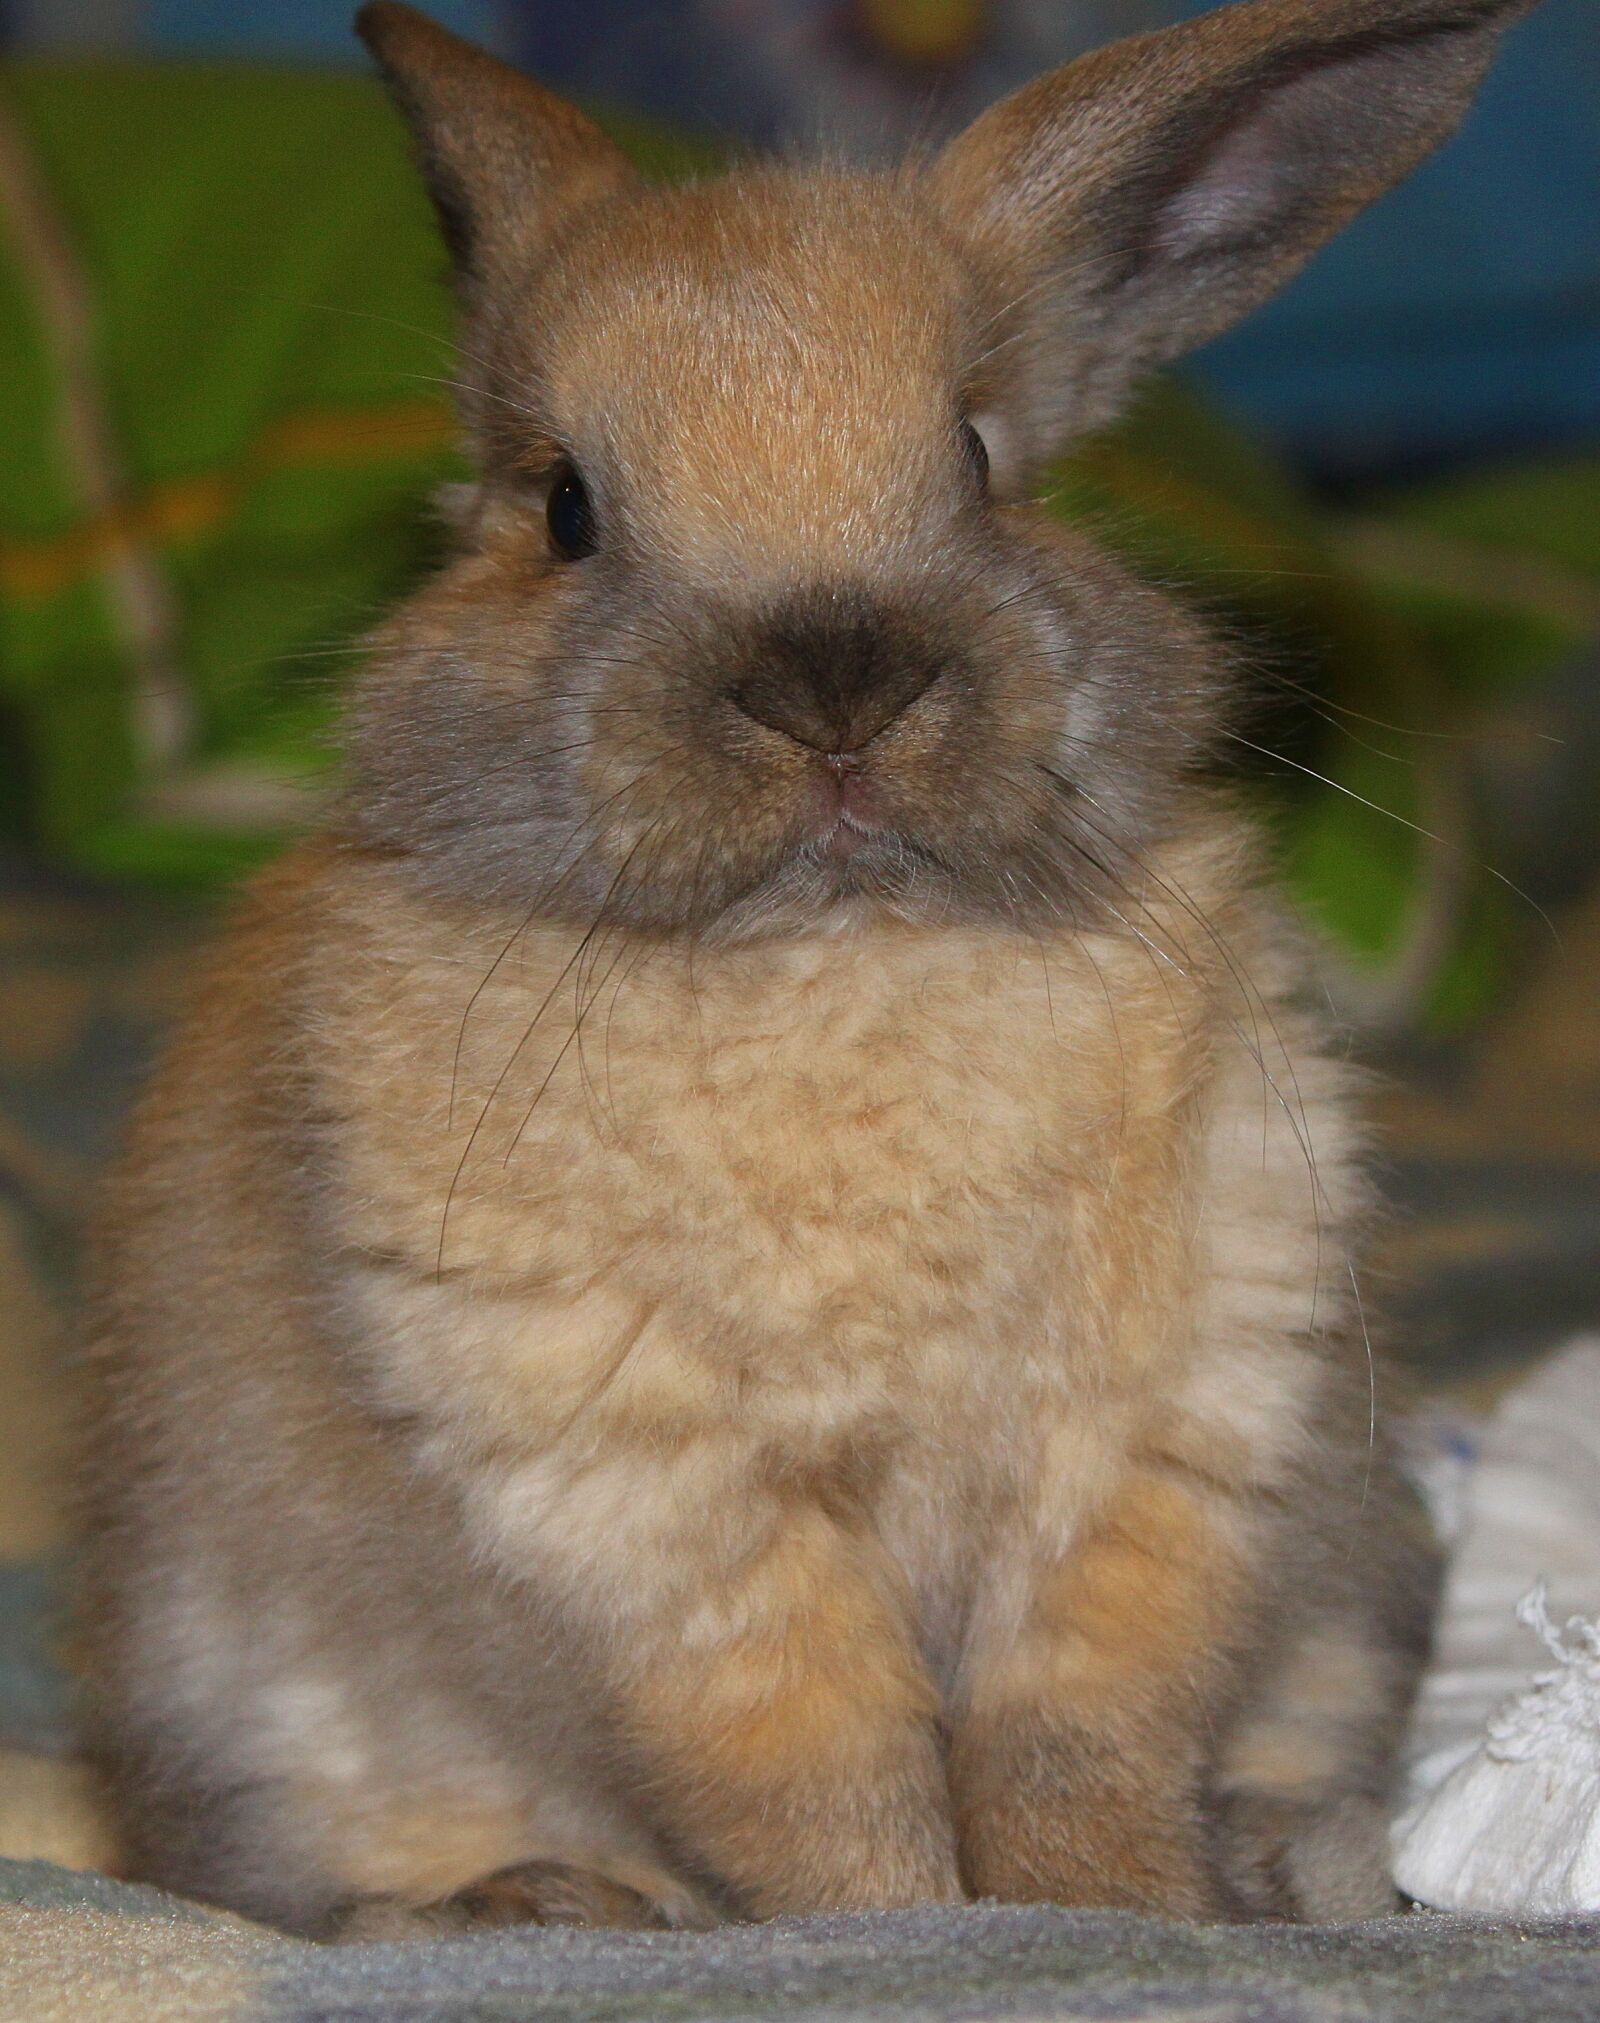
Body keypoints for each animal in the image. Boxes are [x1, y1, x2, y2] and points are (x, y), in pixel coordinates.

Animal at [76, 0, 1535, 1941]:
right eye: (563, 508)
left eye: (982, 457)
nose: (835, 687)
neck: (832, 950)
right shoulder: (643, 1501)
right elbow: (822, 1768)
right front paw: (905, 1933)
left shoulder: (1155, 1433)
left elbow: (1075, 1732)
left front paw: (1123, 1916)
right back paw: (535, 1907)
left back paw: (1303, 1863)